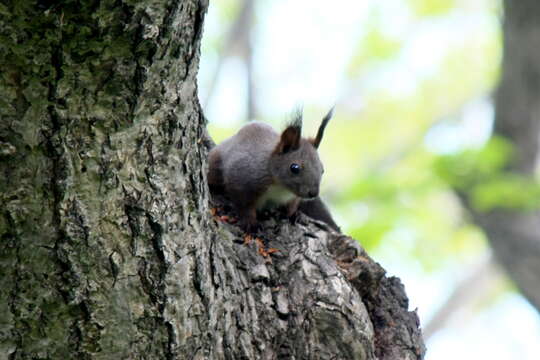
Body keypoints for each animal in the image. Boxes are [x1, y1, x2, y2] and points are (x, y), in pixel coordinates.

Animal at [208, 108, 340, 232]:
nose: (313, 193)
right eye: (294, 168)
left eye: (322, 170)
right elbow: (243, 205)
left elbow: (292, 205)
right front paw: (249, 222)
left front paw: (294, 214)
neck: (280, 187)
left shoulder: (293, 197)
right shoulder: (242, 179)